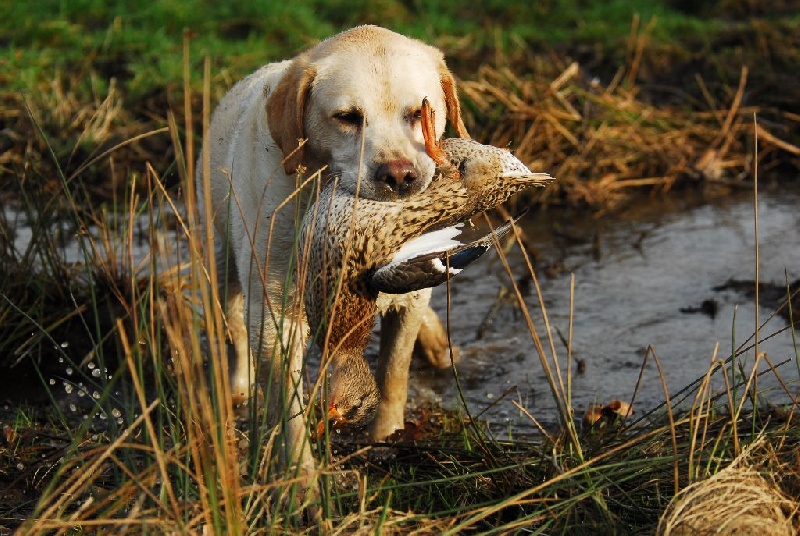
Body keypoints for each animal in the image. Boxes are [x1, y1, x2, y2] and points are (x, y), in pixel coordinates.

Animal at [198, 26, 468, 482]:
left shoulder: (408, 293)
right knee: (233, 328)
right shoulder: (276, 319)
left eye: (419, 112)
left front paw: (386, 435)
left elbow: (394, 371)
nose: (400, 176)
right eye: (347, 117)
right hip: (222, 263)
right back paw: (237, 389)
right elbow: (288, 409)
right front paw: (300, 478)